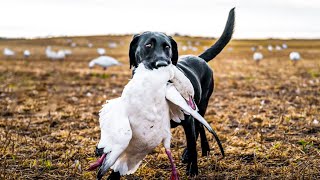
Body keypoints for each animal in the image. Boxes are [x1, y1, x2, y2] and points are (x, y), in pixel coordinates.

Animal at [95, 8, 235, 177]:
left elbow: (192, 143)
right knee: (199, 128)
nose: (162, 63)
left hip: (201, 105)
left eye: (167, 47)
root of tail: (199, 58)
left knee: (199, 128)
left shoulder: (188, 118)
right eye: (148, 45)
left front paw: (193, 169)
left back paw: (199, 151)